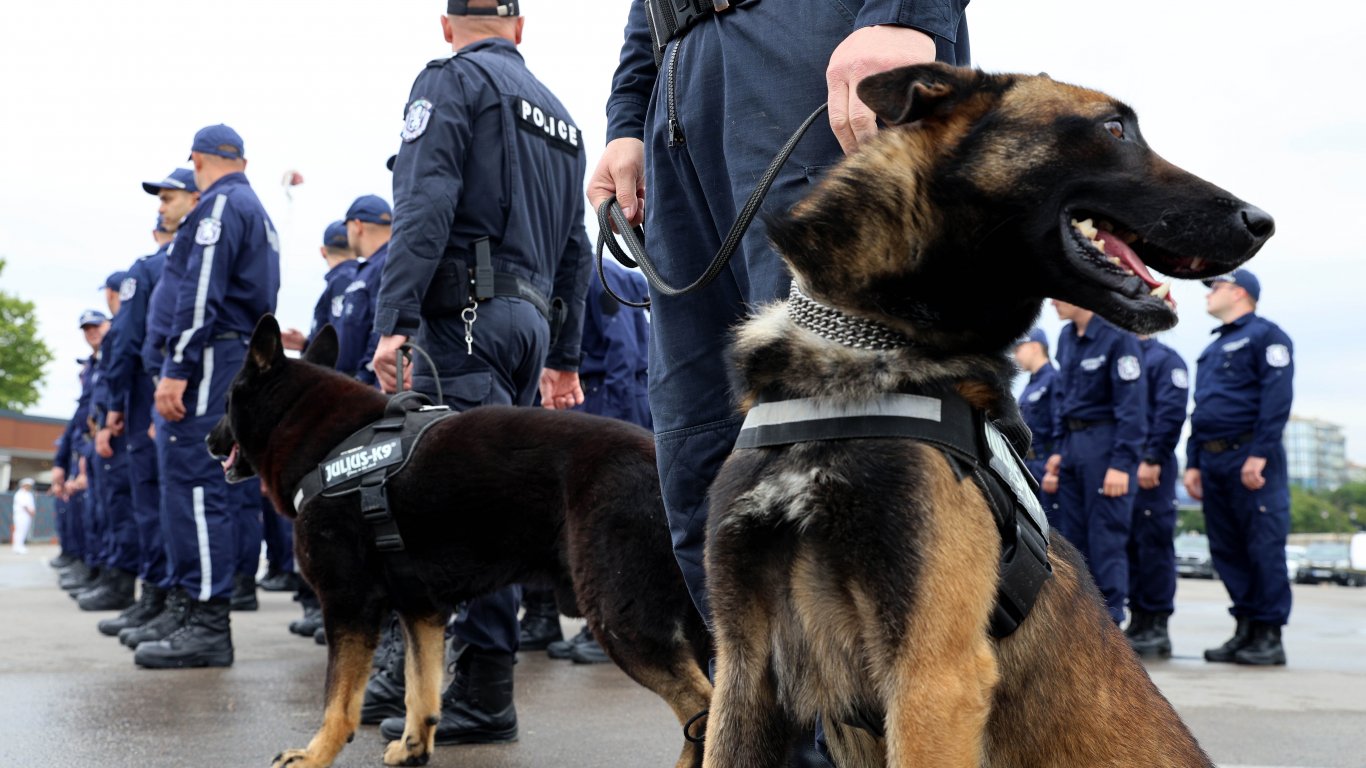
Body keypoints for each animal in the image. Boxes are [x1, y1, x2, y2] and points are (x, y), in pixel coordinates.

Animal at [210, 317, 715, 765]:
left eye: (227, 399)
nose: (210, 441)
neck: (328, 440)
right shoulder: (421, 609)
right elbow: (420, 687)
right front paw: (414, 748)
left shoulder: (347, 605)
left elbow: (338, 700)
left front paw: (313, 756)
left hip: (621, 618)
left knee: (703, 709)